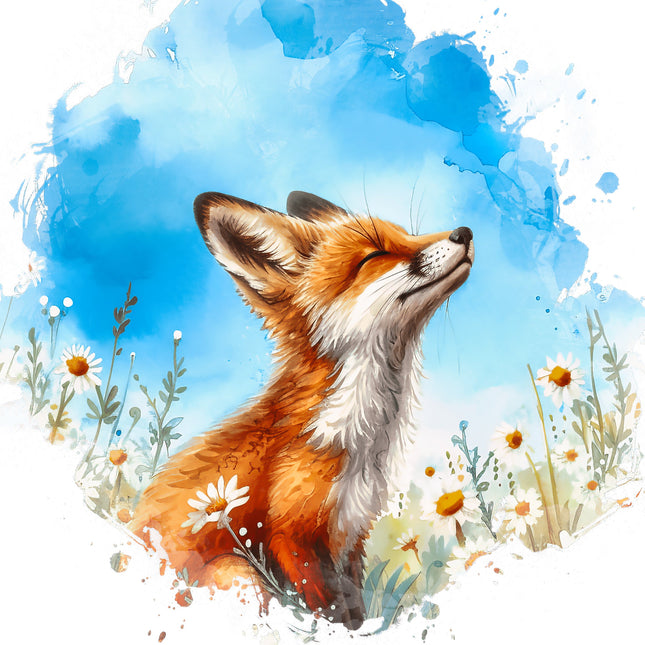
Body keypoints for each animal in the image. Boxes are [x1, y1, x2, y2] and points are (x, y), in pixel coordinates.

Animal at [132, 190, 474, 629]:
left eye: (409, 234)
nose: (464, 232)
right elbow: (329, 613)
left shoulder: (350, 536)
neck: (355, 437)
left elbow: (355, 609)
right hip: (238, 572)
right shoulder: (294, 538)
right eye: (374, 254)